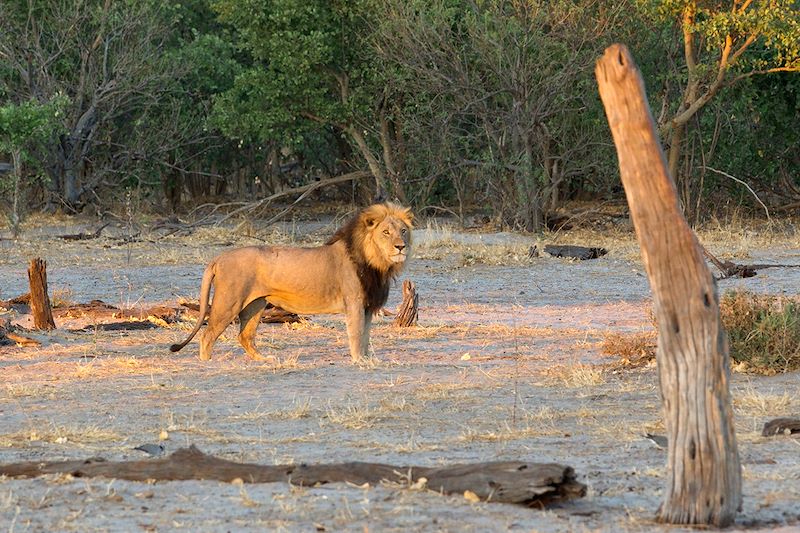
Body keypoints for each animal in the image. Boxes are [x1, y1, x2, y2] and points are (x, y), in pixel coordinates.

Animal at [169, 203, 412, 362]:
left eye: (403, 231)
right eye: (386, 232)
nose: (401, 246)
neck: (377, 264)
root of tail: (218, 257)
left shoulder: (368, 306)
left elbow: (366, 336)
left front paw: (369, 359)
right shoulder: (354, 303)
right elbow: (356, 334)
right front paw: (359, 361)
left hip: (255, 304)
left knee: (244, 335)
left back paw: (264, 360)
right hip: (229, 302)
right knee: (207, 335)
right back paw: (207, 362)